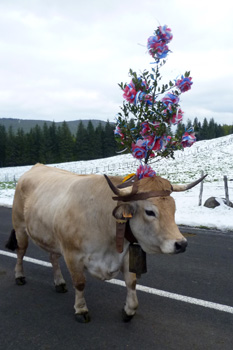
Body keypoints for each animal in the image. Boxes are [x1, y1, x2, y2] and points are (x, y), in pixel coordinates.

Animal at [5, 164, 206, 322]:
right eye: (150, 212)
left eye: (174, 208)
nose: (181, 244)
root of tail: (36, 167)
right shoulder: (72, 254)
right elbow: (80, 283)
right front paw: (81, 310)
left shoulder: (125, 254)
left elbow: (131, 282)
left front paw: (129, 310)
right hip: (20, 227)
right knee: (21, 252)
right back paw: (19, 276)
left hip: (50, 235)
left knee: (53, 257)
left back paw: (59, 283)